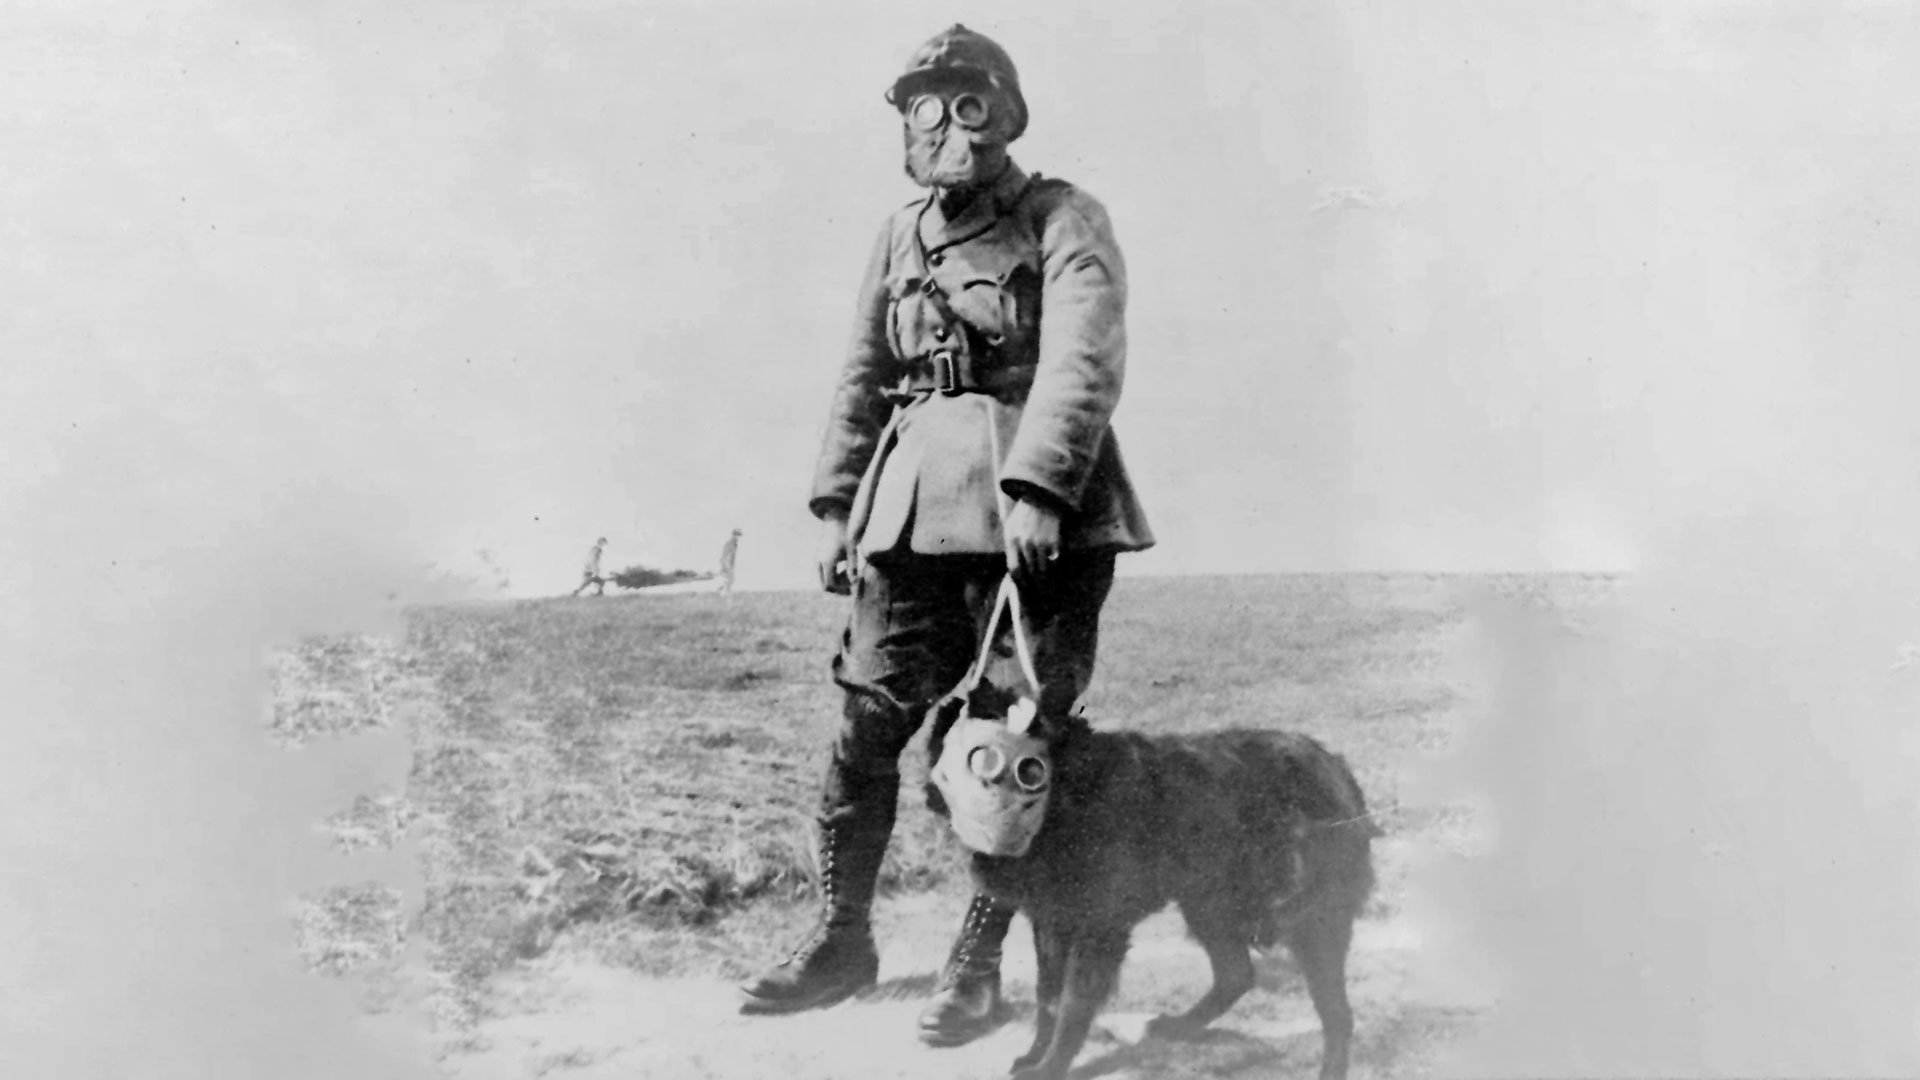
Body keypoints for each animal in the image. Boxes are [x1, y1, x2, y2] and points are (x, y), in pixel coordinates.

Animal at [921, 687, 1374, 1076]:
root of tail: (1336, 767)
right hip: (1206, 903)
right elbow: (1047, 999)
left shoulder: (1097, 930)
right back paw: (1182, 1026)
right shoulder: (1052, 924)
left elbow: (1071, 1005)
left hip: (1308, 922)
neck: (1063, 797)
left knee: (1337, 1017)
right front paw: (1037, 1055)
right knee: (1237, 974)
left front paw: (1051, 1067)